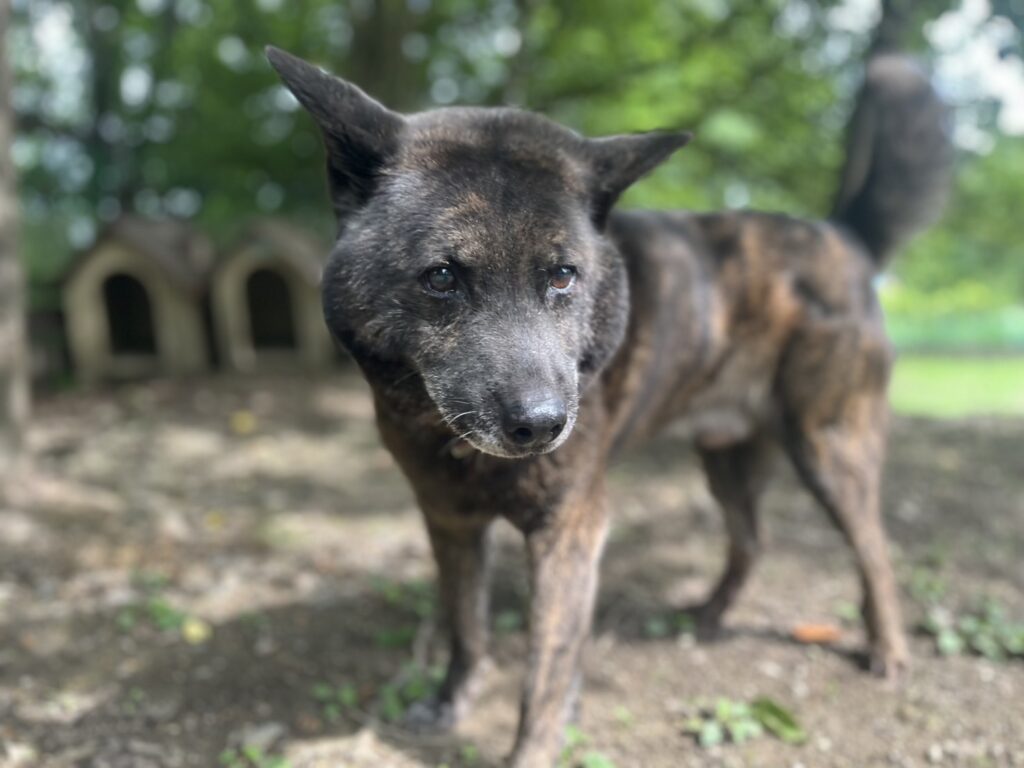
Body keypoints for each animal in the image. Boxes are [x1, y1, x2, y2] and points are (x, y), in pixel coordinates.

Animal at [267, 46, 950, 766]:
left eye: (564, 275)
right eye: (443, 276)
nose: (542, 426)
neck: (461, 454)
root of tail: (842, 237)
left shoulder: (571, 529)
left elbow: (544, 668)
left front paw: (539, 740)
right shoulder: (450, 523)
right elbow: (466, 625)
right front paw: (453, 702)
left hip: (829, 450)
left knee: (875, 552)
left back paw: (888, 651)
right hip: (726, 465)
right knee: (752, 541)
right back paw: (709, 616)